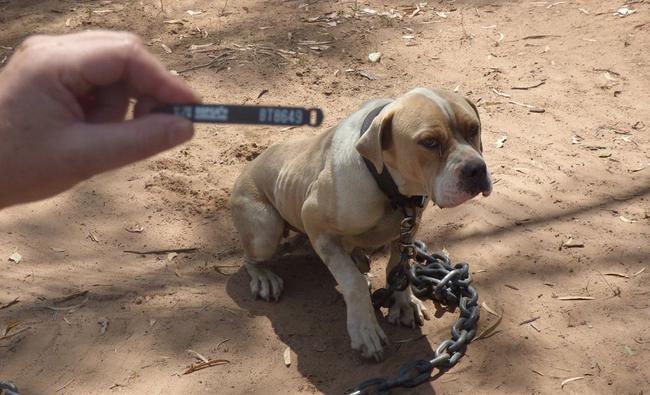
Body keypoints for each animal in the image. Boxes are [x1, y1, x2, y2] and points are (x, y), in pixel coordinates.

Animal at [230, 89, 488, 362]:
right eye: (429, 141)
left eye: (474, 128)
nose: (476, 169)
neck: (387, 182)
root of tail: (248, 166)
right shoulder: (316, 226)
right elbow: (353, 283)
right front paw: (365, 330)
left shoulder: (409, 228)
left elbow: (400, 267)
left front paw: (404, 303)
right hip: (264, 233)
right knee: (251, 258)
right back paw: (264, 278)